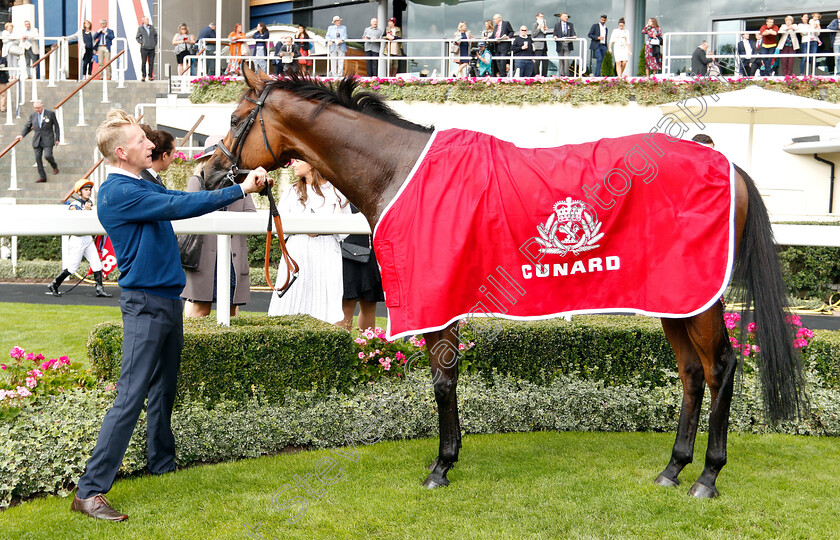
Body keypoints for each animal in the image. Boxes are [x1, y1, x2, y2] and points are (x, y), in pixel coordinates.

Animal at [200, 67, 804, 498]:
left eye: (233, 117)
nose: (206, 173)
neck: (398, 169)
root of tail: (725, 161)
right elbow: (448, 380)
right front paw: (449, 457)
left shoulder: (437, 299)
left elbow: (442, 381)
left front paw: (441, 466)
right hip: (675, 297)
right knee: (691, 373)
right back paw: (672, 468)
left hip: (700, 300)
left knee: (720, 366)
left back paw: (707, 477)